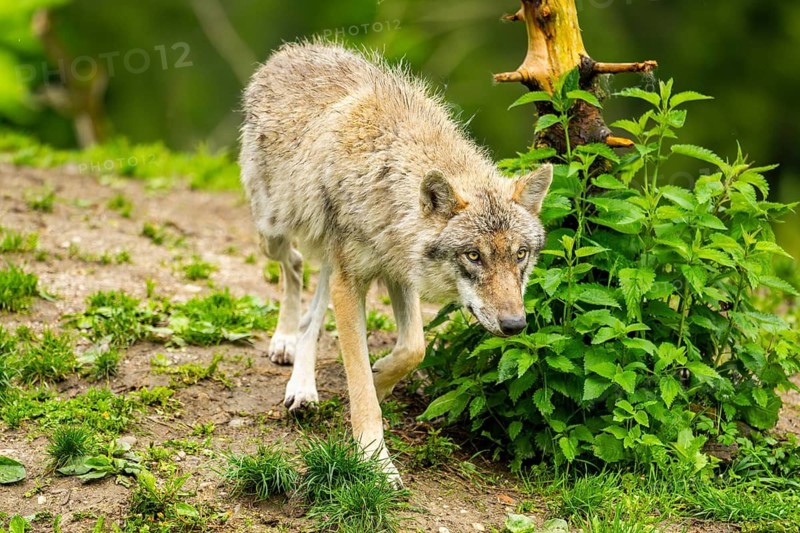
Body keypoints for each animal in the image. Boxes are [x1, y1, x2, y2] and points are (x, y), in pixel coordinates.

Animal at [239, 41, 552, 484]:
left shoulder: (398, 273)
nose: (515, 325)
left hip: (328, 257)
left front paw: (381, 377)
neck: (385, 176)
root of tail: (290, 51)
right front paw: (376, 462)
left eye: (520, 255)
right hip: (274, 233)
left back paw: (301, 382)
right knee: (295, 265)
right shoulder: (352, 282)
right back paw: (284, 343)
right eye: (474, 255)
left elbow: (413, 349)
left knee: (312, 306)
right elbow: (360, 389)